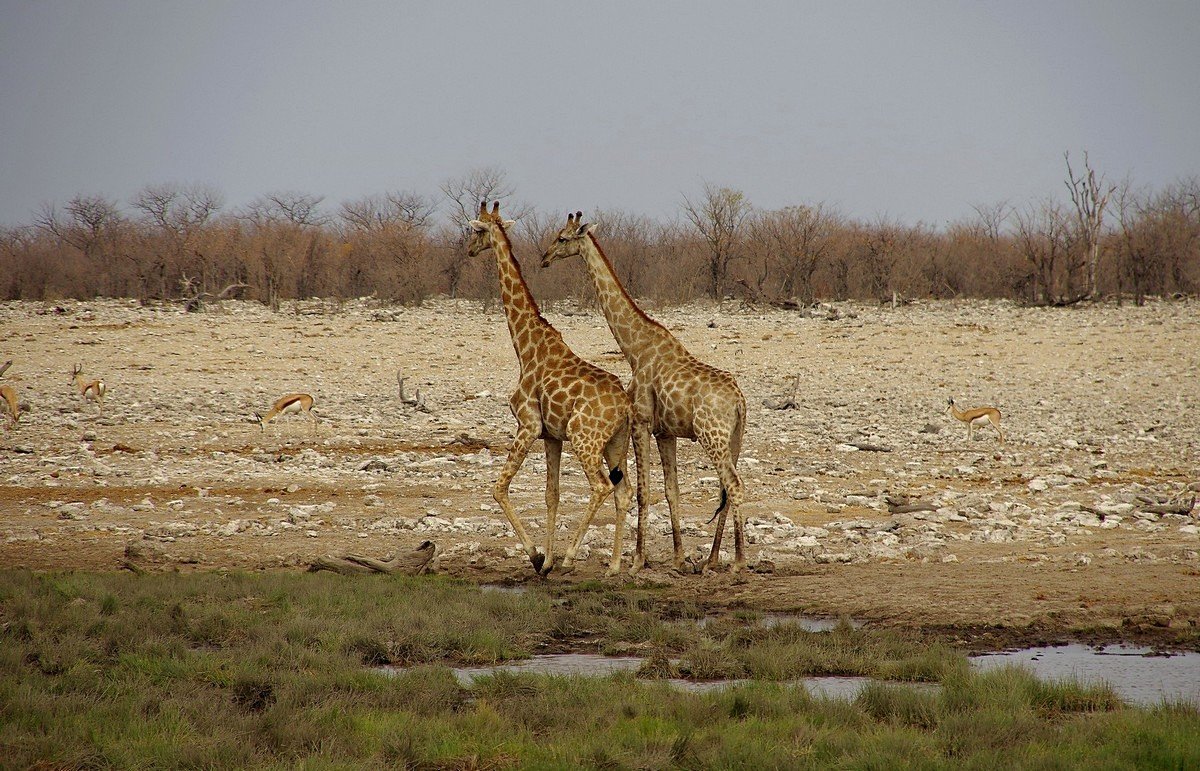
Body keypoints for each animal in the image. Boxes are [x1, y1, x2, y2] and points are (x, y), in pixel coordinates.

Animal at [465, 201, 638, 574]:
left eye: (476, 231)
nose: (469, 250)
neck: (525, 345)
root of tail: (625, 406)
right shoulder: (551, 436)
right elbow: (551, 495)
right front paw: (546, 562)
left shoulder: (527, 424)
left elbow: (499, 488)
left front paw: (536, 556)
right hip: (615, 443)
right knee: (624, 491)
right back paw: (615, 565)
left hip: (585, 439)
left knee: (601, 486)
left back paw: (572, 557)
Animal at [540, 210, 744, 571]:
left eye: (562, 238)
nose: (545, 258)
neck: (634, 348)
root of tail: (740, 402)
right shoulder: (665, 432)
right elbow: (671, 490)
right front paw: (678, 558)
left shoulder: (641, 421)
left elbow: (642, 491)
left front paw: (636, 561)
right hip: (733, 439)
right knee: (726, 486)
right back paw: (711, 559)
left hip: (712, 436)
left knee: (733, 485)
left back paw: (738, 562)